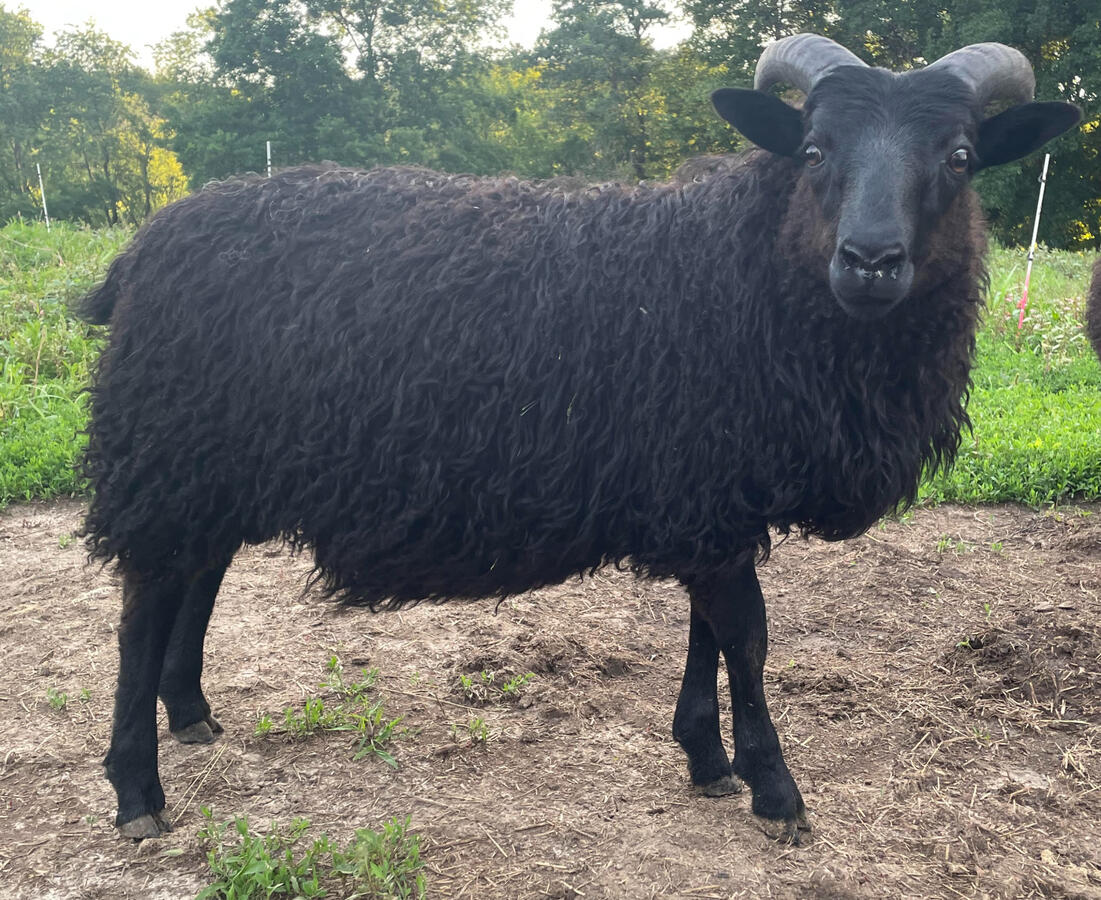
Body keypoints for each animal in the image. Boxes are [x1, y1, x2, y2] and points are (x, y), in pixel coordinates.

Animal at [80, 34, 1080, 843]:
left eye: (958, 157)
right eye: (812, 150)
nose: (870, 260)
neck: (743, 271)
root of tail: (143, 249)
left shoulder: (707, 496)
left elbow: (710, 631)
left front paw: (706, 761)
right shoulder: (708, 490)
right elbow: (748, 637)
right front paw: (775, 791)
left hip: (212, 464)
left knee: (196, 577)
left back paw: (191, 711)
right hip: (166, 450)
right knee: (142, 608)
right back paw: (136, 793)